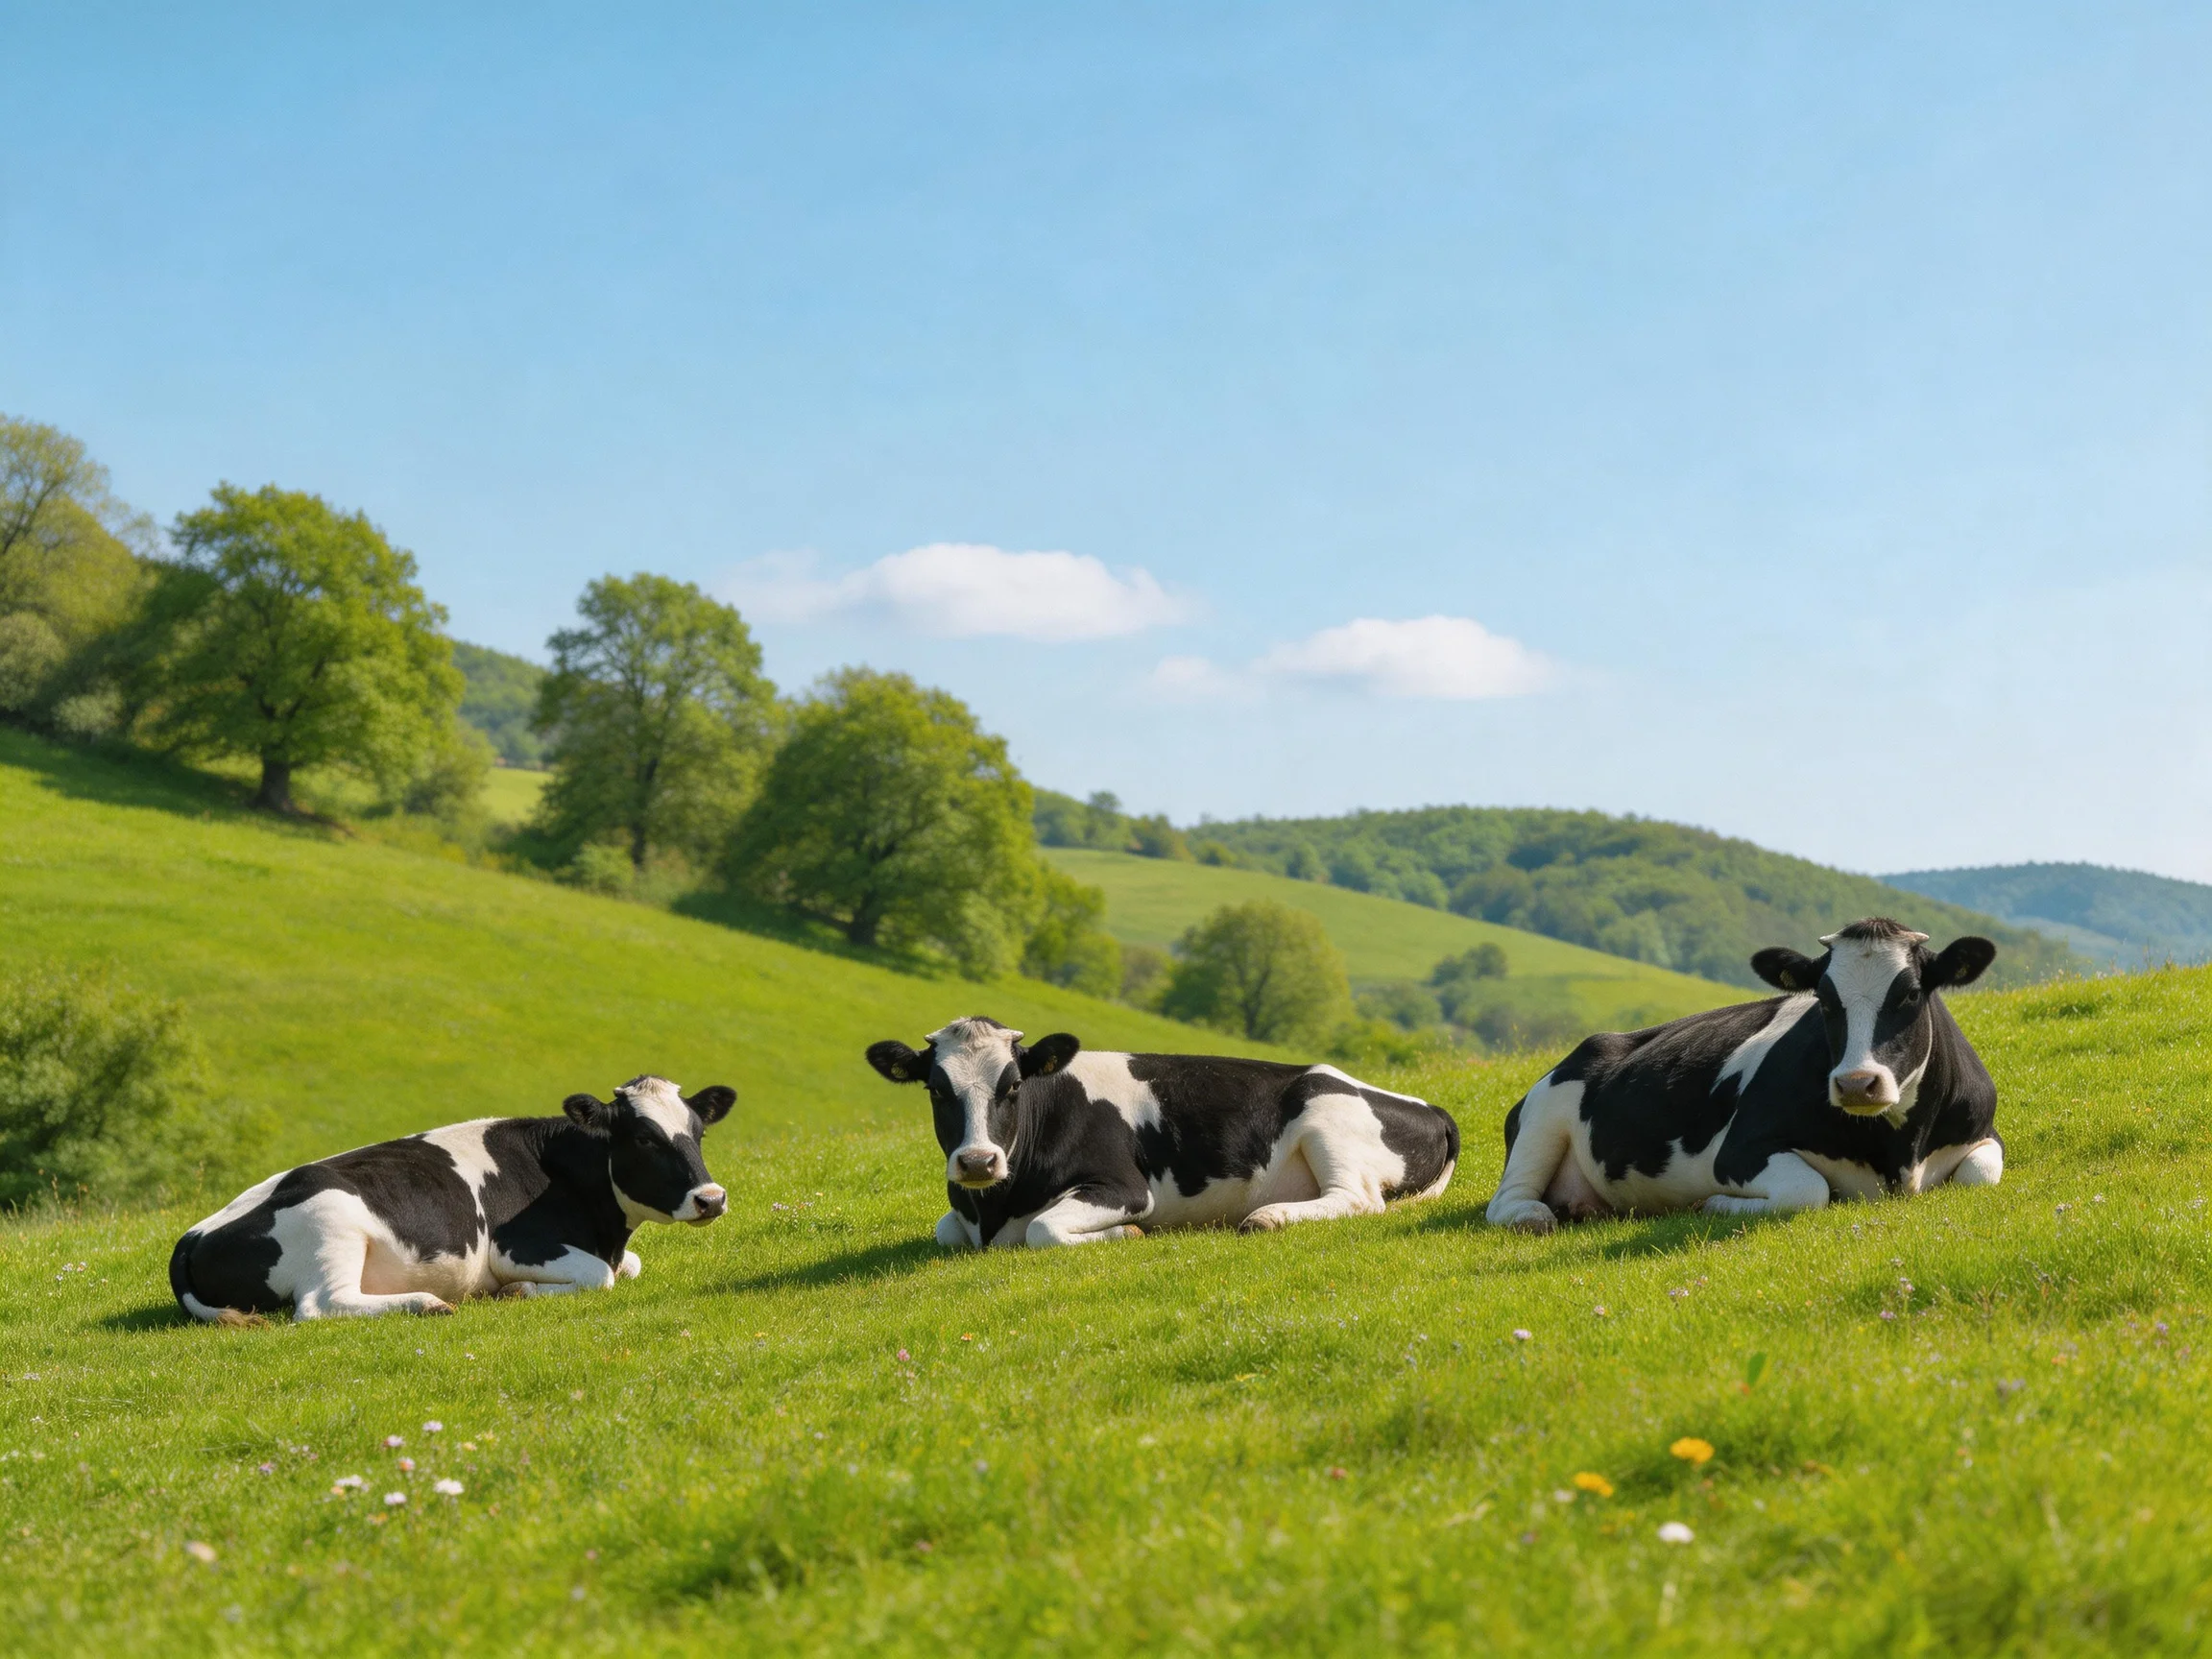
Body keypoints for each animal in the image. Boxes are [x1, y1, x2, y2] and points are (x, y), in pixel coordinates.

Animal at [169, 1076, 734, 1322]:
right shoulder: (514, 1246)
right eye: (643, 1139)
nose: (711, 1198)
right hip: (331, 1223)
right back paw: (428, 1302)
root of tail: (192, 1234)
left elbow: (628, 1267)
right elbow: (602, 1276)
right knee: (321, 1305)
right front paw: (518, 1291)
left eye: (698, 1132)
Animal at [865, 1016, 1459, 1248]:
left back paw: (1267, 1218)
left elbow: (1043, 1230)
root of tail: (1429, 1106)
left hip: (1325, 1117)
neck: (993, 1212)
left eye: (1012, 1086)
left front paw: (1126, 1234)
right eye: (936, 1090)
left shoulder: (1125, 1188)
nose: (977, 1162)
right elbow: (944, 1230)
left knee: (1357, 1199)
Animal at [1486, 918, 2002, 1231]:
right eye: (1824, 998)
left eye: (1911, 994)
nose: (1857, 1082)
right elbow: (1810, 1190)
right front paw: (1714, 1204)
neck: (1900, 1153)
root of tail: (1601, 1041)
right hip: (1544, 1113)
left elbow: (1978, 1175)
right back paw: (1534, 1214)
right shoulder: (1738, 1152)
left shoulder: (1984, 1131)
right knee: (1507, 1202)